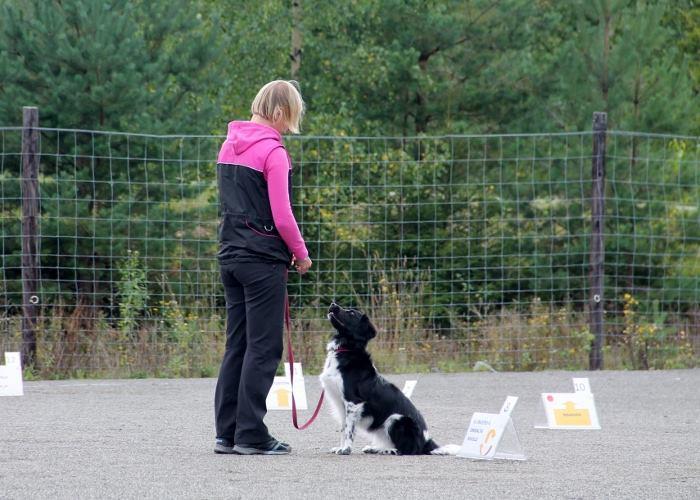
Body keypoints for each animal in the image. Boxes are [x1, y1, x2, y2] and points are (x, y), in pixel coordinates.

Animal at [318, 302, 460, 456]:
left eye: (351, 313)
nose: (333, 304)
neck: (346, 349)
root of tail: (427, 442)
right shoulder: (341, 404)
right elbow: (344, 429)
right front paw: (340, 447)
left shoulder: (353, 401)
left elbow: (349, 430)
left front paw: (346, 449)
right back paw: (374, 448)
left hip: (396, 418)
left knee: (406, 450)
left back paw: (386, 450)